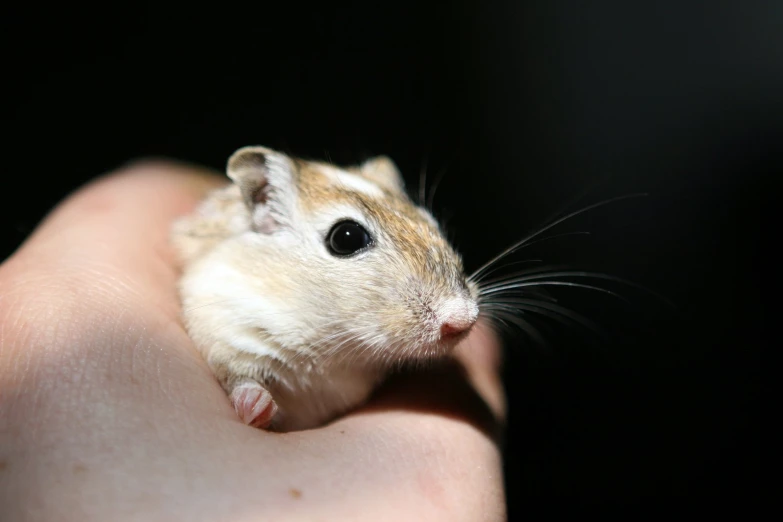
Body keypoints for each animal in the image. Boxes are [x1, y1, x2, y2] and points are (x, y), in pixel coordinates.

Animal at [172, 144, 478, 428]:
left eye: (431, 222)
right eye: (346, 237)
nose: (463, 320)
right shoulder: (223, 323)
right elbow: (238, 377)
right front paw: (256, 408)